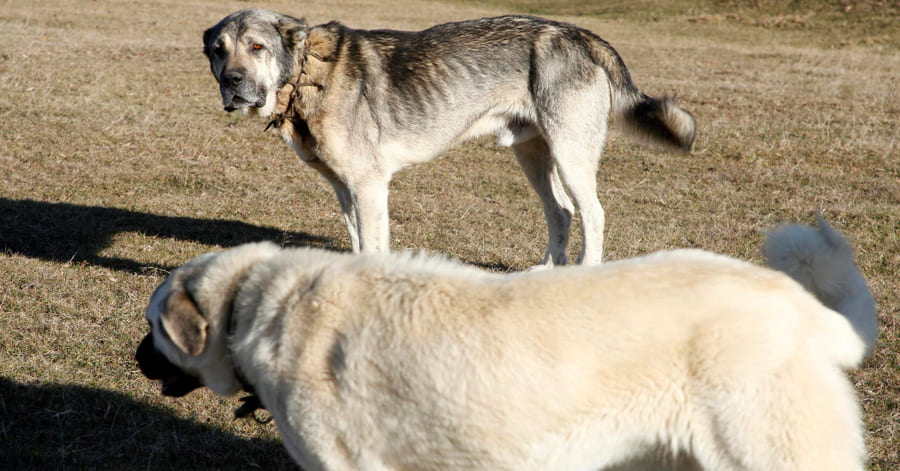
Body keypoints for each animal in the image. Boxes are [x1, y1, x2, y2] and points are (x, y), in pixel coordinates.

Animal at [202, 8, 696, 266]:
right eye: (218, 51)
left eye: (258, 47)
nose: (232, 83)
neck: (308, 72)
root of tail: (580, 35)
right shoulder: (345, 189)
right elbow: (360, 245)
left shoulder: (369, 188)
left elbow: (374, 249)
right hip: (533, 154)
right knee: (560, 212)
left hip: (570, 153)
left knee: (592, 214)